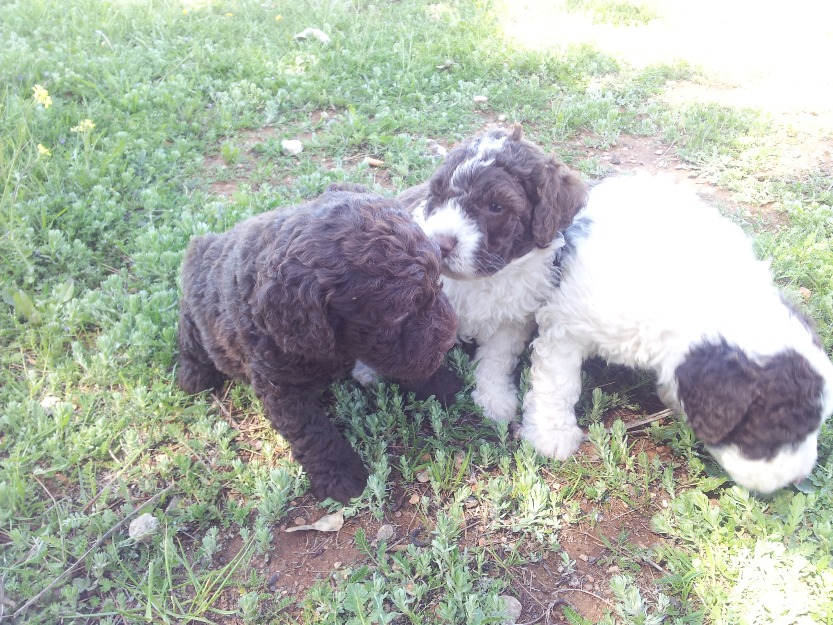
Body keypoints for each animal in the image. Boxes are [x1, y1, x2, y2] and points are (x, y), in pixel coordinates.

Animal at [178, 185, 458, 502]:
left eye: (438, 282)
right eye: (400, 315)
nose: (450, 339)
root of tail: (203, 245)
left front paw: (440, 384)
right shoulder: (280, 388)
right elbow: (314, 434)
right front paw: (341, 476)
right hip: (197, 322)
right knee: (188, 339)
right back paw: (193, 376)